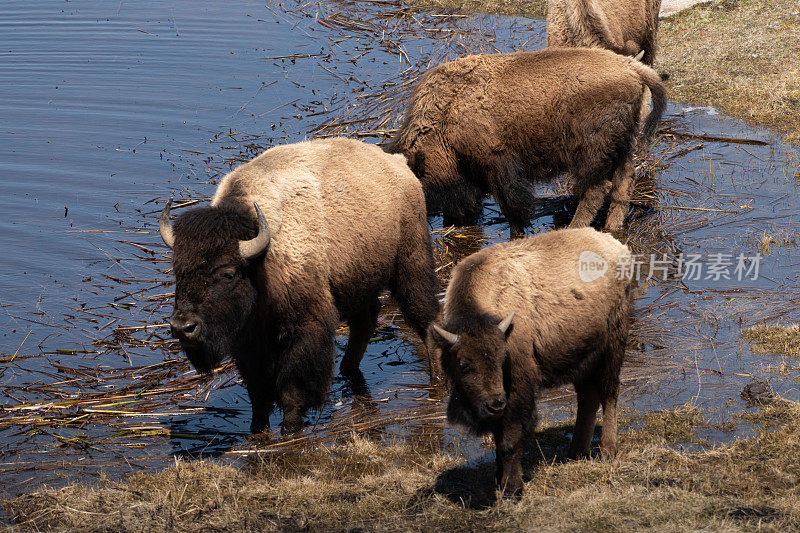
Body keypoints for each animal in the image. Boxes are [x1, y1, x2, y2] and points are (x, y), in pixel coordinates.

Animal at [159, 136, 440, 432]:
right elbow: (258, 394)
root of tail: (398, 164)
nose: (183, 327)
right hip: (357, 281)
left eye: (228, 273)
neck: (261, 261)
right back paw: (348, 369)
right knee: (366, 319)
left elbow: (291, 390)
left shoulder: (304, 329)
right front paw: (258, 429)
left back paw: (436, 377)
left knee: (424, 316)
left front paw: (290, 428)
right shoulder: (249, 343)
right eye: (178, 271)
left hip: (411, 263)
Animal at [384, 47, 664, 235]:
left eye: (420, 182)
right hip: (621, 146)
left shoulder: (498, 165)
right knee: (624, 181)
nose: (453, 220)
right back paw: (612, 227)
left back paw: (574, 228)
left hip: (591, 152)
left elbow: (512, 206)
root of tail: (630, 66)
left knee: (597, 188)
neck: (448, 111)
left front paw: (516, 233)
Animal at [428, 227, 636, 496]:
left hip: (612, 347)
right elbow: (498, 439)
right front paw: (499, 482)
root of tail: (616, 245)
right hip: (582, 356)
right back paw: (575, 452)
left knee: (609, 394)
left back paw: (607, 451)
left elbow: (510, 440)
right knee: (587, 398)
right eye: (463, 364)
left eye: (502, 358)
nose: (494, 404)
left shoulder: (518, 388)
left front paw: (512, 488)